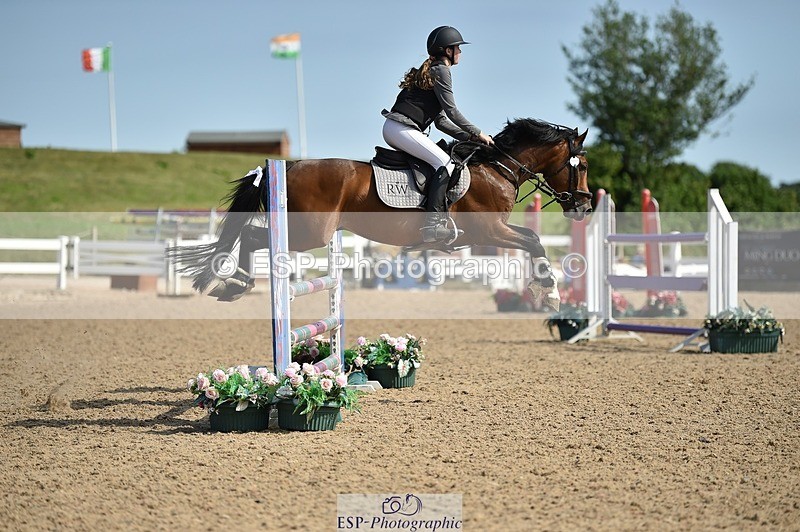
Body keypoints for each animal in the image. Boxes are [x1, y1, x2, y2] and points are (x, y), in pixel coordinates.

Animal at [173, 118, 592, 310]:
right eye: (583, 165)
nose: (585, 206)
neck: (497, 167)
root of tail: (288, 167)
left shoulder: (490, 233)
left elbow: (533, 240)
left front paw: (544, 291)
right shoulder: (489, 231)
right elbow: (534, 241)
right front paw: (550, 293)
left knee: (252, 237)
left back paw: (234, 284)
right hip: (310, 233)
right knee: (253, 236)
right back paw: (236, 283)